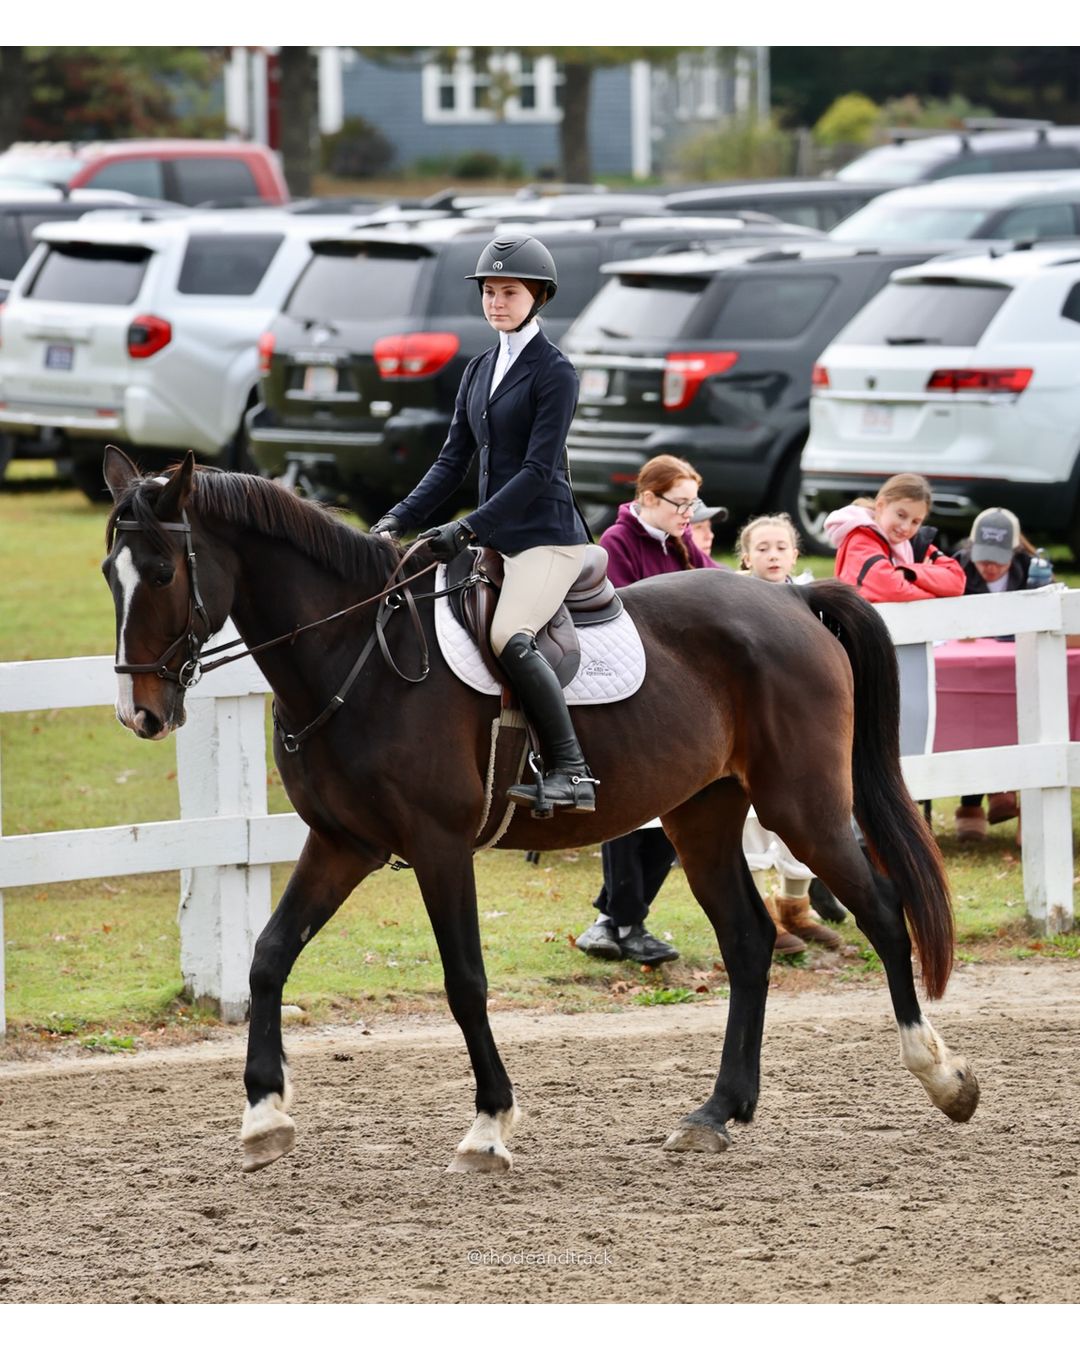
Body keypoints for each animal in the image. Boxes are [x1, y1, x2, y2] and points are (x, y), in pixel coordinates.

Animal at [100, 447, 979, 1175]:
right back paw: (715, 1113)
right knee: (748, 940)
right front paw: (263, 1117)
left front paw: (489, 1127)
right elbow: (269, 956)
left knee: (881, 908)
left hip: (803, 804)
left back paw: (940, 1076)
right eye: (111, 574)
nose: (141, 714)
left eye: (163, 570)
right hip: (703, 814)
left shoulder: (438, 845)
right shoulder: (342, 843)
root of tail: (790, 605)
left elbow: (464, 980)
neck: (354, 654)